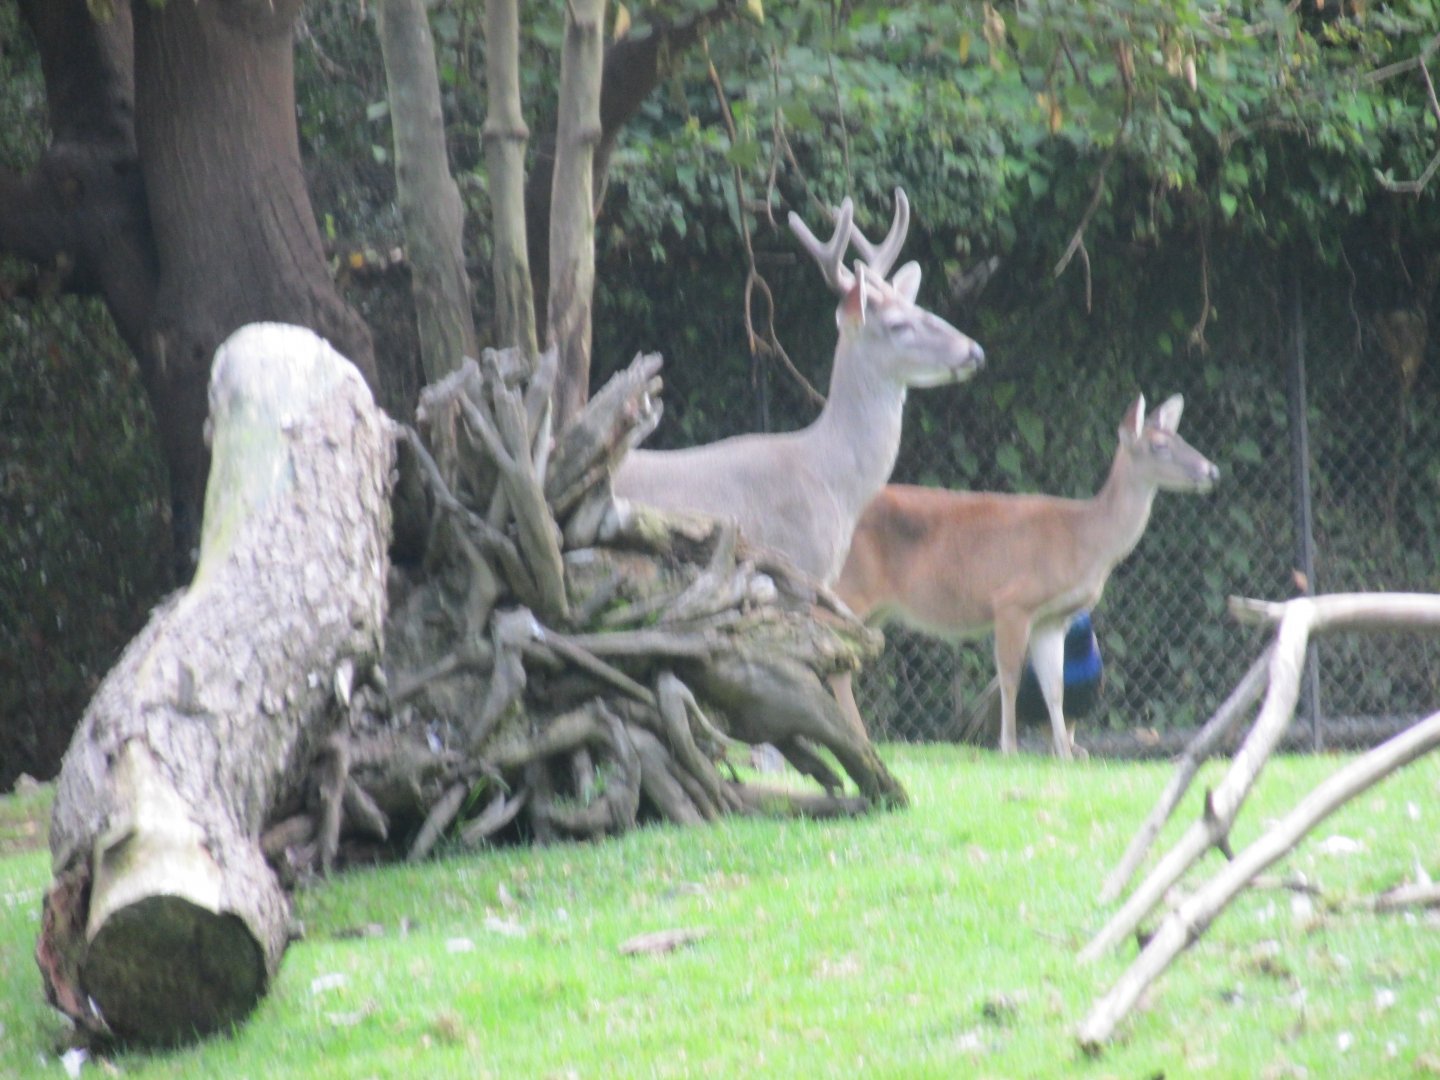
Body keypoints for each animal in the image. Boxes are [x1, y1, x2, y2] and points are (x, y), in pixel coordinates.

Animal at [834, 393, 1220, 761]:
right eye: (1159, 445)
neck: (1083, 540)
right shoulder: (1013, 600)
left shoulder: (1051, 618)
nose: (1212, 471)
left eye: (1182, 437)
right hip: (850, 587)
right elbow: (1009, 678)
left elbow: (1055, 687)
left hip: (876, 608)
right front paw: (1009, 747)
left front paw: (1065, 753)